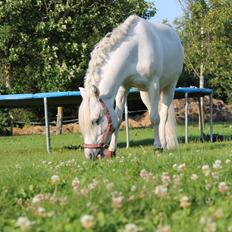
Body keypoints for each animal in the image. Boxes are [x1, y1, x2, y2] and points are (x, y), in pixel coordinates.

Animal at [79, 14, 184, 160]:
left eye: (96, 120)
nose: (89, 155)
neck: (135, 51)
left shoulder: (154, 85)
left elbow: (155, 118)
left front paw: (157, 147)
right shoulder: (123, 88)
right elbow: (117, 120)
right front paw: (112, 150)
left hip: (169, 87)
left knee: (163, 115)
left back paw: (164, 143)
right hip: (144, 94)